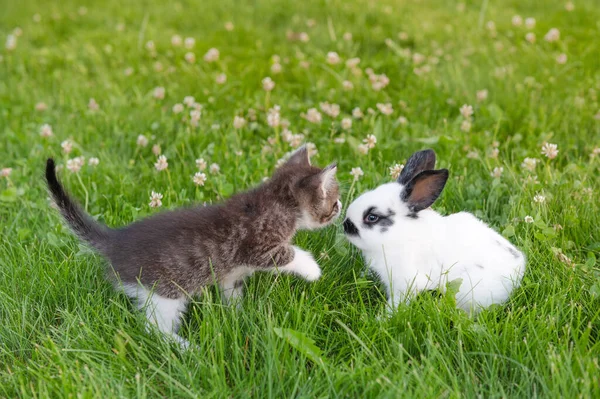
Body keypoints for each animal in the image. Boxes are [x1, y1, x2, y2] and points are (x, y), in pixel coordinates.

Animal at [44, 147, 340, 346]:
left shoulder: (232, 272)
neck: (278, 201)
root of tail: (116, 240)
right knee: (153, 328)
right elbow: (287, 253)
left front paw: (237, 316)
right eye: (334, 200)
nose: (339, 209)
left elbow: (232, 290)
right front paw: (312, 269)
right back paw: (184, 347)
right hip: (164, 292)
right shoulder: (256, 247)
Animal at [342, 150, 524, 316]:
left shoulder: (406, 283)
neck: (400, 235)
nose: (346, 225)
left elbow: (396, 303)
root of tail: (520, 267)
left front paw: (382, 318)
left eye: (372, 217)